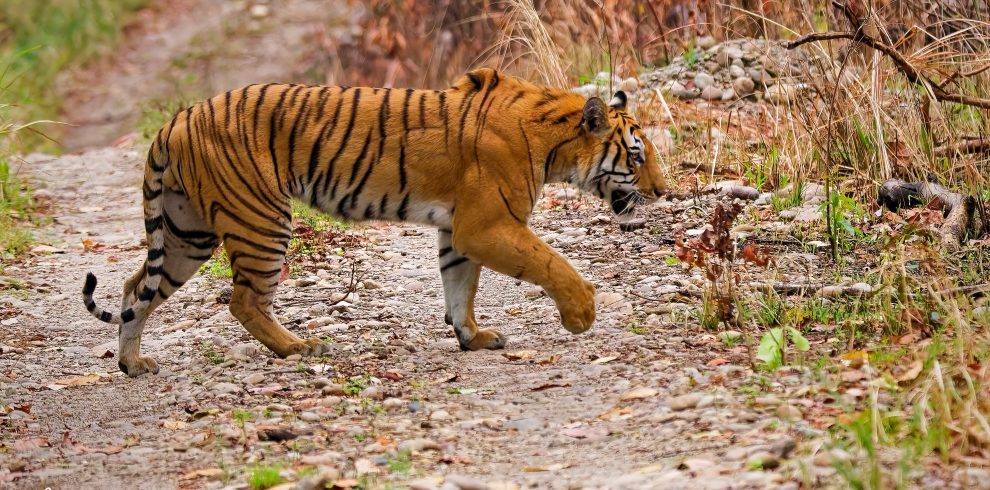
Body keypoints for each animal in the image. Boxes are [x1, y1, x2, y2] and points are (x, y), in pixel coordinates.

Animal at [81, 68, 666, 377]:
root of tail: (175, 120)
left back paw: (133, 364)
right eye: (637, 157)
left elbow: (460, 287)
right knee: (243, 299)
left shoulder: (460, 231)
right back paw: (299, 348)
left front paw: (472, 337)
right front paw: (581, 315)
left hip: (187, 232)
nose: (664, 191)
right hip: (261, 219)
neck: (553, 142)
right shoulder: (488, 224)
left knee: (135, 288)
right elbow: (551, 262)